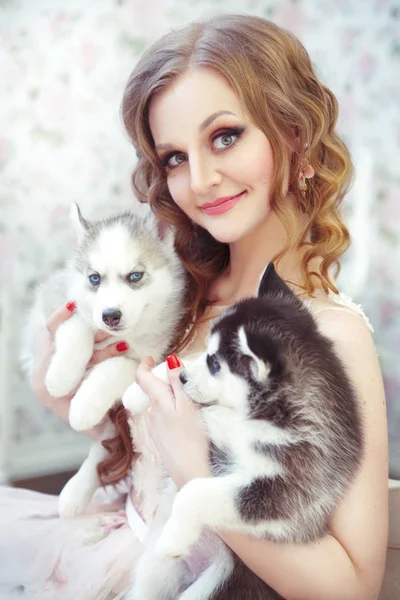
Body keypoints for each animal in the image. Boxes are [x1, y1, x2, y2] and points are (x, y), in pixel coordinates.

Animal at [23, 205, 188, 516]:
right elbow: (78, 323)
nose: (110, 315)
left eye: (135, 276)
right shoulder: (59, 301)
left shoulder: (150, 353)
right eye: (94, 278)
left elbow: (117, 367)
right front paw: (61, 377)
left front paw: (83, 406)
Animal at [123, 262, 364, 600]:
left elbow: (195, 490)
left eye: (215, 364)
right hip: (153, 571)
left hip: (221, 585)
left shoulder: (290, 492)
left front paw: (174, 537)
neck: (258, 415)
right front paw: (136, 391)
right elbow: (183, 363)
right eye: (208, 355)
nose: (182, 379)